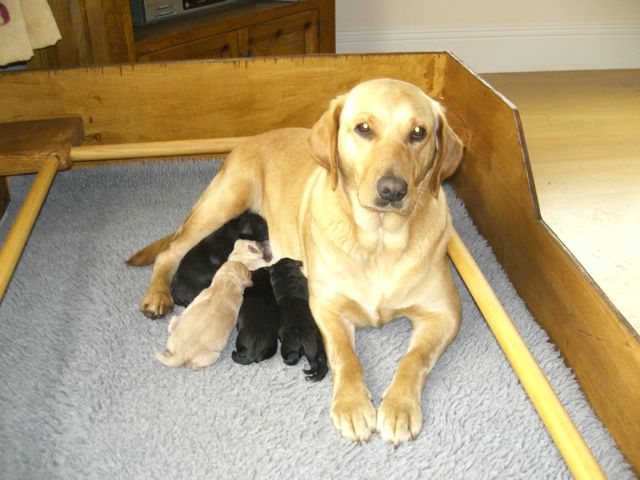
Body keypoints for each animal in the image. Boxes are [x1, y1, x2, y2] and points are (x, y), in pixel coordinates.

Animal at [156, 240, 270, 372]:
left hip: (174, 328)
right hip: (213, 355)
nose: (262, 243)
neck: (226, 282)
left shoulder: (202, 295)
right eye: (254, 243)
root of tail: (181, 355)